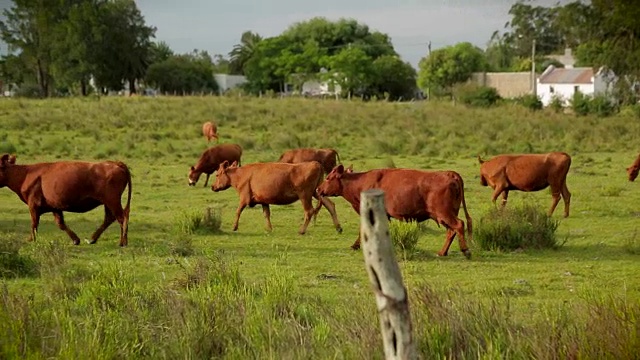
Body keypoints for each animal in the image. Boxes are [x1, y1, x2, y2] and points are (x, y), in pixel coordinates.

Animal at [0, 153, 132, 246]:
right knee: (110, 218)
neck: (24, 175)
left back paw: (122, 242)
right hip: (108, 203)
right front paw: (76, 240)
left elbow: (34, 223)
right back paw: (92, 239)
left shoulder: (33, 205)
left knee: (121, 217)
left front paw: (31, 239)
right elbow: (60, 224)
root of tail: (115, 163)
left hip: (112, 200)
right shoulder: (55, 206)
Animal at [211, 160, 342, 233]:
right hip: (317, 192)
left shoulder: (244, 198)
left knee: (309, 211)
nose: (212, 186)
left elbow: (238, 211)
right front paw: (269, 229)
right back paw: (338, 227)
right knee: (330, 205)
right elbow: (266, 214)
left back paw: (301, 230)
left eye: (217, 175)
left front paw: (234, 227)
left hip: (305, 195)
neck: (240, 174)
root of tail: (316, 163)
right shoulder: (264, 200)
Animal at [316, 165, 470, 258]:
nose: (318, 189)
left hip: (445, 214)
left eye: (328, 178)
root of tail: (449, 174)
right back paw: (442, 252)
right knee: (451, 231)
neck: (360, 183)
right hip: (446, 215)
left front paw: (357, 245)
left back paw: (465, 251)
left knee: (459, 225)